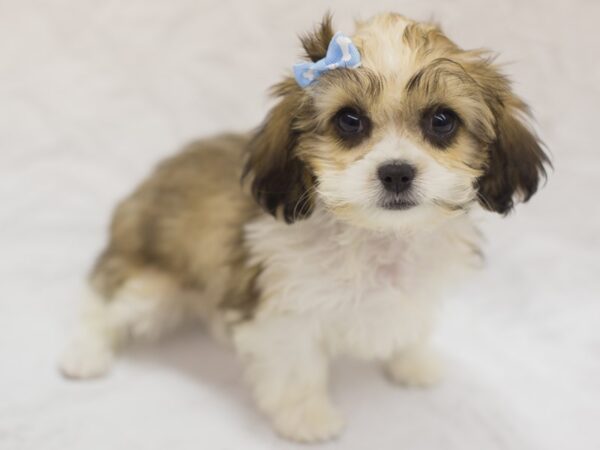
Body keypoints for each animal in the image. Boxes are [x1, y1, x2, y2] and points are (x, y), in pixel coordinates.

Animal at [59, 13, 548, 442]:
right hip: (151, 283)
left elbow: (411, 325)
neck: (378, 237)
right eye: (349, 120)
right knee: (102, 305)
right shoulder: (283, 314)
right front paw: (308, 419)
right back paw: (84, 355)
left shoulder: (415, 292)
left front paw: (412, 362)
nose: (396, 172)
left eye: (442, 120)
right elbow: (297, 370)